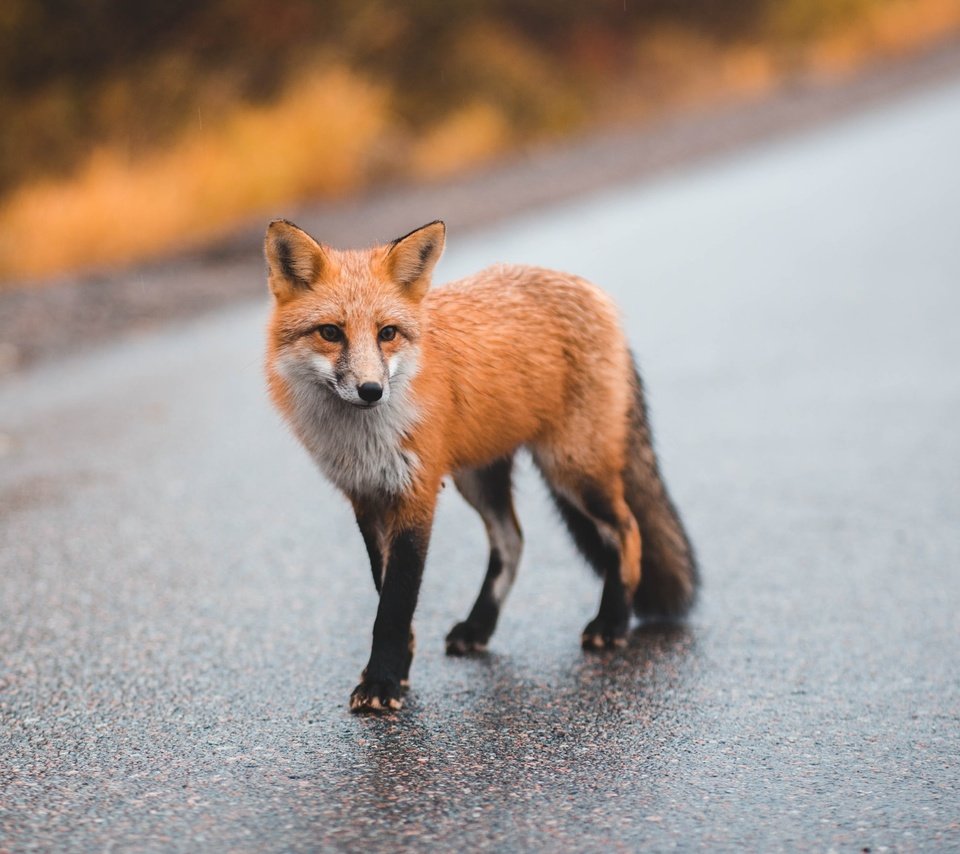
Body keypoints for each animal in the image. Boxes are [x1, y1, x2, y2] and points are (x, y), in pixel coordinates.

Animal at [262, 217, 696, 712]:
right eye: (331, 333)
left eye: (387, 333)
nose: (372, 391)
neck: (364, 438)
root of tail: (591, 290)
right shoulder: (367, 497)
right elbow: (385, 591)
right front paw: (398, 669)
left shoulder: (417, 494)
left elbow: (395, 603)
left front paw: (382, 682)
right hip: (479, 478)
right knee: (513, 540)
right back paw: (479, 627)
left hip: (572, 469)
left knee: (627, 530)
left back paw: (612, 622)